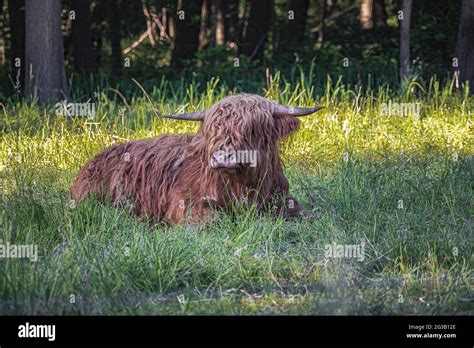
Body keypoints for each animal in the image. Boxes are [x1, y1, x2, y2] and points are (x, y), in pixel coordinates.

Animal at [70, 94, 324, 224]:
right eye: (213, 130)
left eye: (250, 129)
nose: (222, 157)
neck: (242, 186)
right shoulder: (186, 203)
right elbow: (214, 220)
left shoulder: (280, 197)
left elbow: (303, 211)